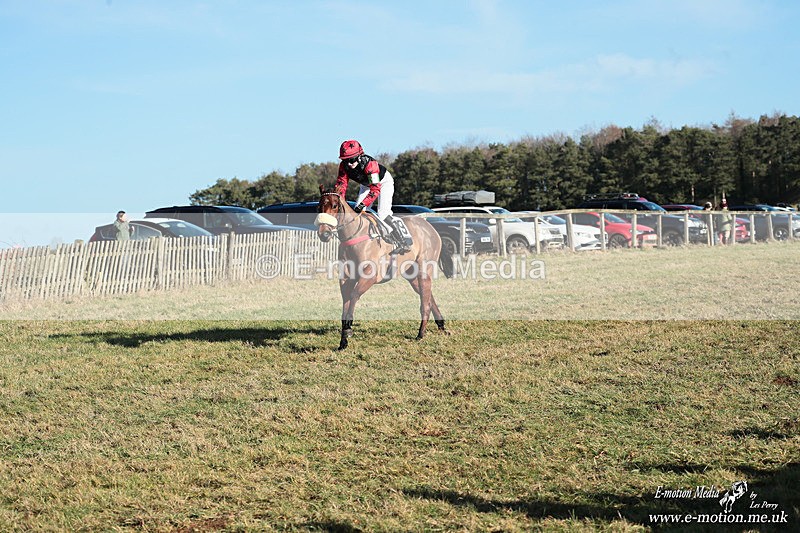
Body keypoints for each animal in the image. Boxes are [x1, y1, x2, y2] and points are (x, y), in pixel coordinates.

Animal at [315, 186, 448, 350]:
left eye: (334, 206)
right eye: (319, 207)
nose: (324, 233)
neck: (354, 235)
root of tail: (430, 227)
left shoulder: (370, 276)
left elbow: (354, 296)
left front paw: (349, 328)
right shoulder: (346, 278)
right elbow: (346, 301)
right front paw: (343, 340)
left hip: (424, 268)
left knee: (425, 300)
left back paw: (421, 333)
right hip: (411, 273)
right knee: (428, 295)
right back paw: (441, 325)